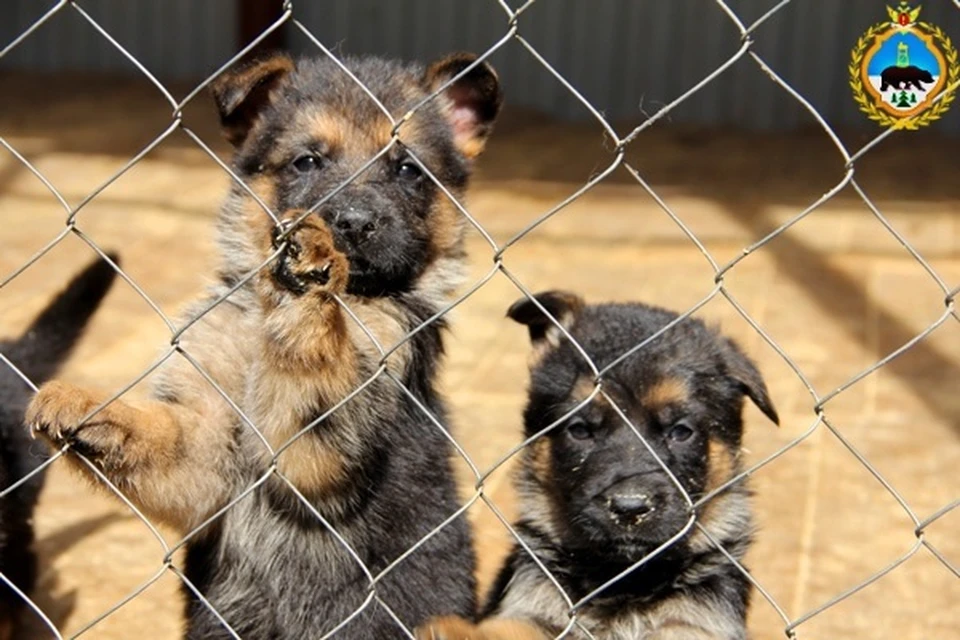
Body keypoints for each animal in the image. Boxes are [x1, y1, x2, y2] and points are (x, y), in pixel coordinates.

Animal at [25, 51, 502, 640]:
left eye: (408, 169)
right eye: (306, 162)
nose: (351, 224)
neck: (261, 321)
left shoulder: (317, 445)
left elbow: (313, 361)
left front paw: (311, 268)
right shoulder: (206, 448)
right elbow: (161, 435)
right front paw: (89, 408)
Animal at [420, 292, 780, 640]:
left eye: (680, 432)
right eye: (579, 430)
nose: (629, 509)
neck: (621, 581)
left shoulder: (696, 623)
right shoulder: (535, 605)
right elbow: (511, 628)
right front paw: (455, 631)